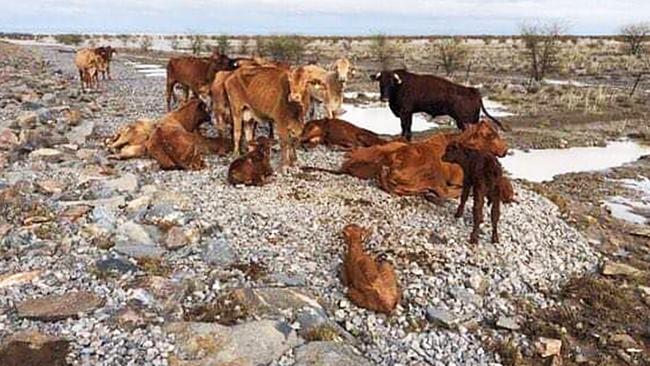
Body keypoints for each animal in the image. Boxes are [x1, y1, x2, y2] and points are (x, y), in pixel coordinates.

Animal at [370, 69, 506, 141]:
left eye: (392, 83)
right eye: (381, 82)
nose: (384, 98)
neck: (400, 86)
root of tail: (473, 90)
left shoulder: (406, 112)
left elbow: (406, 128)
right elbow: (405, 128)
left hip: (466, 121)